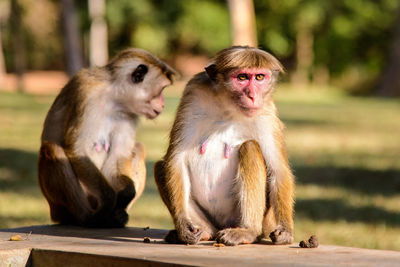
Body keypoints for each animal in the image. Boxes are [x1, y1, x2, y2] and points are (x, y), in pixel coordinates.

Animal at [39, 48, 177, 228]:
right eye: (161, 91)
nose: (163, 104)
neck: (113, 97)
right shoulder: (86, 92)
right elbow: (78, 149)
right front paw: (110, 200)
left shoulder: (128, 114)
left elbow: (118, 156)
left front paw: (126, 194)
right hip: (61, 207)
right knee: (52, 148)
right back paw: (88, 218)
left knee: (138, 148)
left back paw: (118, 216)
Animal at [155, 46, 296, 247]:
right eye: (242, 77)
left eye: (259, 77)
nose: (252, 96)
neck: (228, 106)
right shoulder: (193, 92)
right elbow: (176, 159)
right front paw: (183, 225)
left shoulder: (266, 112)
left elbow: (278, 170)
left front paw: (285, 230)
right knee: (161, 166)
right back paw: (204, 232)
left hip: (258, 220)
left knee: (250, 147)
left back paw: (248, 231)